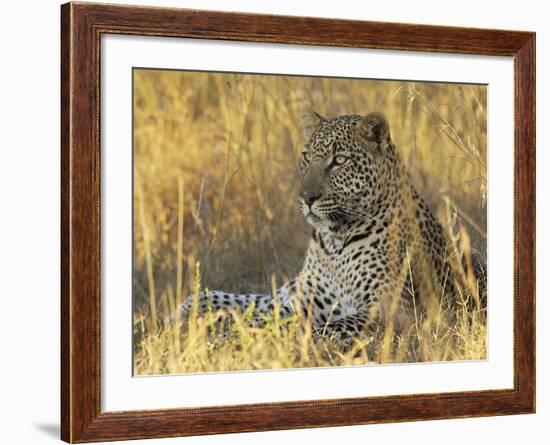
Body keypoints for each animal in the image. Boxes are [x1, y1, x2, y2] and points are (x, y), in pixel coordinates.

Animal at [175, 107, 486, 344]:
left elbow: (316, 330)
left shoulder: (391, 311)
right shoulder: (302, 297)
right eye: (306, 157)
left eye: (339, 161)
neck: (334, 241)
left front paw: (234, 341)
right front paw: (184, 315)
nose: (306, 197)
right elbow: (249, 303)